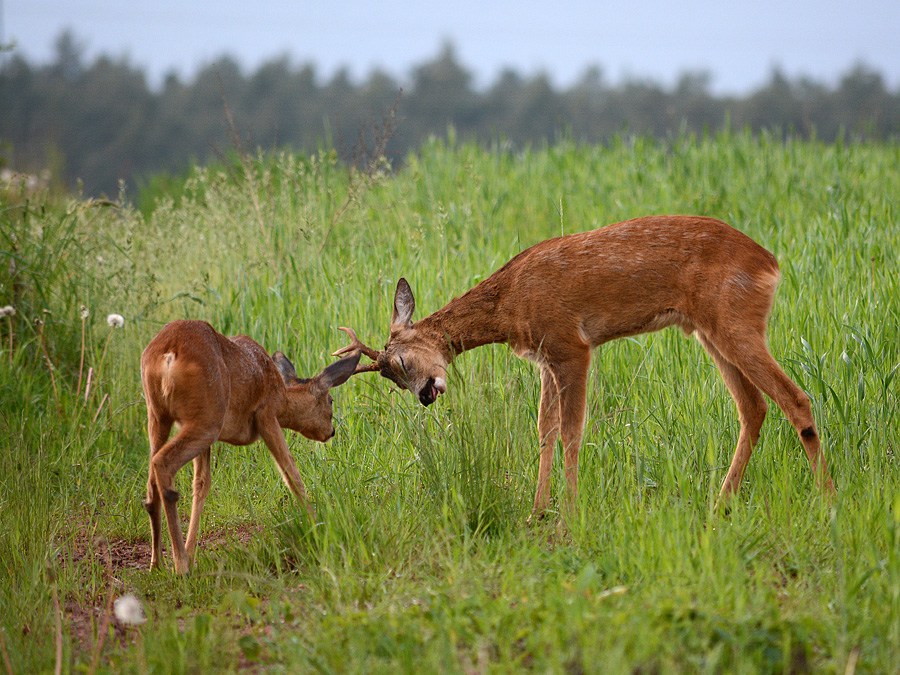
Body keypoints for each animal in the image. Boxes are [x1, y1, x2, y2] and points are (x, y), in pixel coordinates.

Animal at [141, 320, 358, 572]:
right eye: (330, 401)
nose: (331, 431)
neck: (283, 396)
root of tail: (169, 352)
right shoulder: (266, 414)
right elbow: (291, 474)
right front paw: (317, 526)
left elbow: (202, 484)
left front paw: (192, 552)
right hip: (207, 420)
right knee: (163, 463)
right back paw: (180, 565)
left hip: (160, 416)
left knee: (151, 481)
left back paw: (157, 564)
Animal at [336, 215, 836, 516]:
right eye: (391, 377)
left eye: (401, 361)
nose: (425, 394)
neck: (508, 303)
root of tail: (771, 263)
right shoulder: (544, 359)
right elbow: (545, 431)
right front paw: (536, 511)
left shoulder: (571, 345)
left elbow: (572, 433)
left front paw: (571, 512)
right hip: (708, 331)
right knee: (754, 406)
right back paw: (721, 502)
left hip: (734, 321)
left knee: (795, 397)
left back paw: (827, 497)